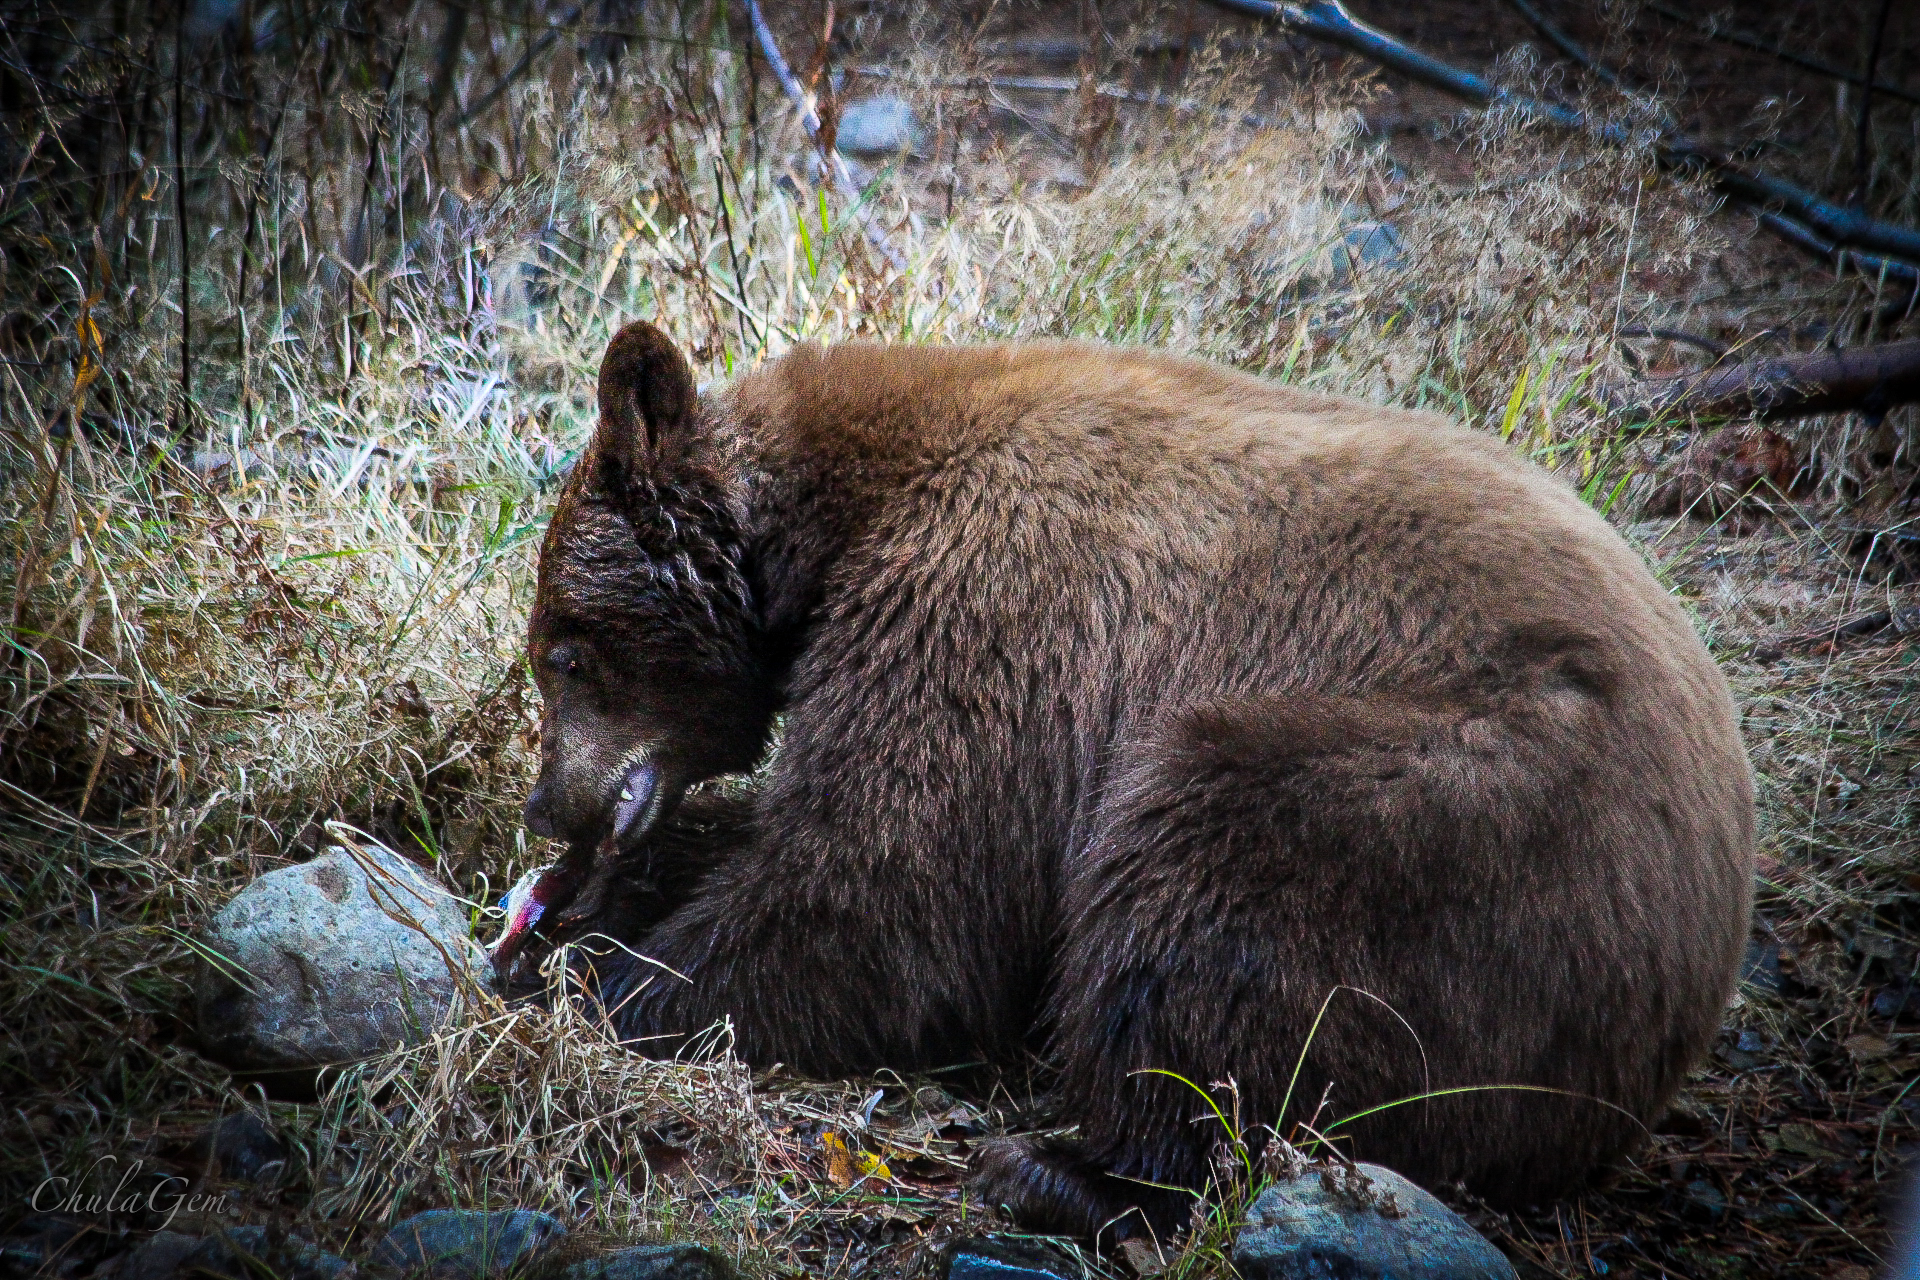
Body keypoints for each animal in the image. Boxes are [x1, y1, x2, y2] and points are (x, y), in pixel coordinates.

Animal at [504, 320, 1754, 1238]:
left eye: (561, 650)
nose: (545, 802)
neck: (833, 520)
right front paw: (584, 911)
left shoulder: (992, 604)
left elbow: (891, 893)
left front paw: (600, 976)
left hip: (1457, 817)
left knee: (1209, 893)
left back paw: (1067, 1167)